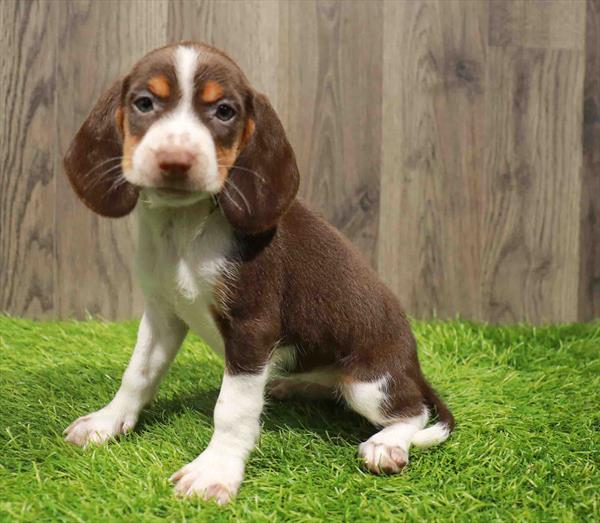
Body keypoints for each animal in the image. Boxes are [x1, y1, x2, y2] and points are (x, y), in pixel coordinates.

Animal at [63, 43, 452, 506]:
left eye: (224, 111)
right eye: (144, 103)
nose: (175, 160)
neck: (186, 228)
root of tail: (413, 364)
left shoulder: (253, 328)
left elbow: (232, 409)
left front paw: (215, 471)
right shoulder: (162, 314)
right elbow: (137, 373)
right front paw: (107, 422)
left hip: (370, 385)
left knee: (414, 412)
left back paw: (386, 443)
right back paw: (293, 386)